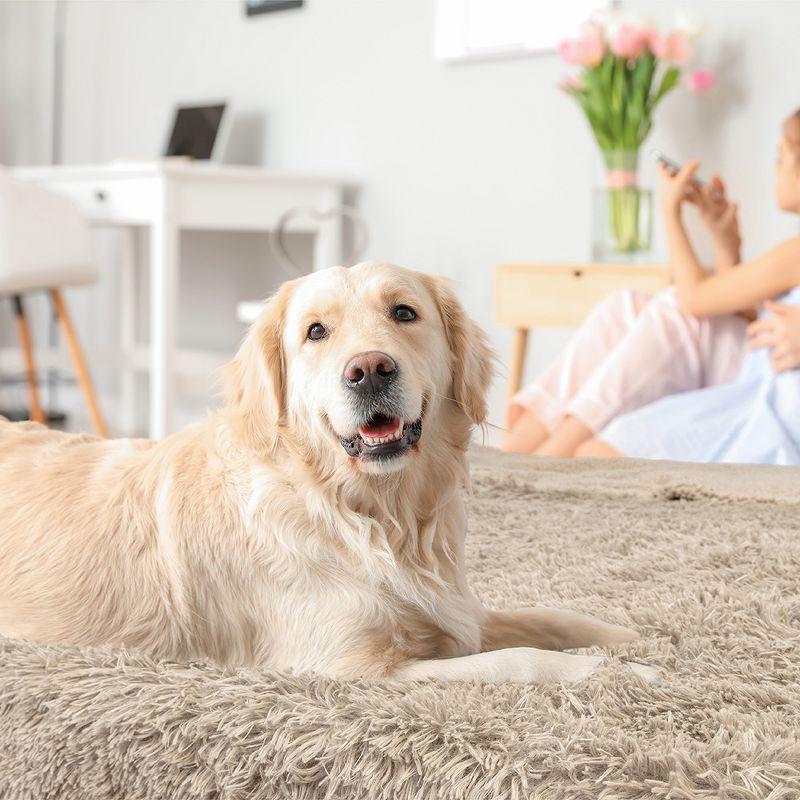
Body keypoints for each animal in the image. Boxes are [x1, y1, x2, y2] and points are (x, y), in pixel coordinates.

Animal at [0, 262, 636, 680]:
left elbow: (554, 618)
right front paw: (622, 674)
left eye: (404, 312)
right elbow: (522, 661)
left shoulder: (458, 611)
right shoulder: (358, 668)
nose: (370, 369)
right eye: (315, 332)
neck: (369, 514)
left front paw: (631, 638)